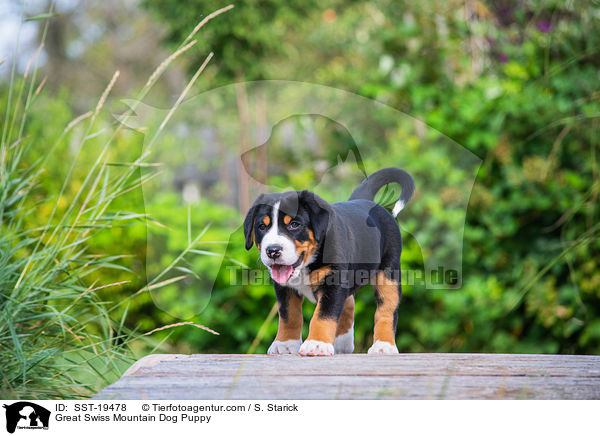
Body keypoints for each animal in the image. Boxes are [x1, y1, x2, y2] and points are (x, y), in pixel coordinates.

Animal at [241, 167, 414, 354]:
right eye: (261, 227)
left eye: (294, 224)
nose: (272, 251)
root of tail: (366, 201)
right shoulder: (284, 288)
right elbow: (289, 315)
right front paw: (285, 343)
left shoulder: (333, 281)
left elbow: (323, 315)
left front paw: (317, 343)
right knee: (349, 303)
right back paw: (343, 343)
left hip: (389, 273)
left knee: (386, 310)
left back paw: (384, 345)